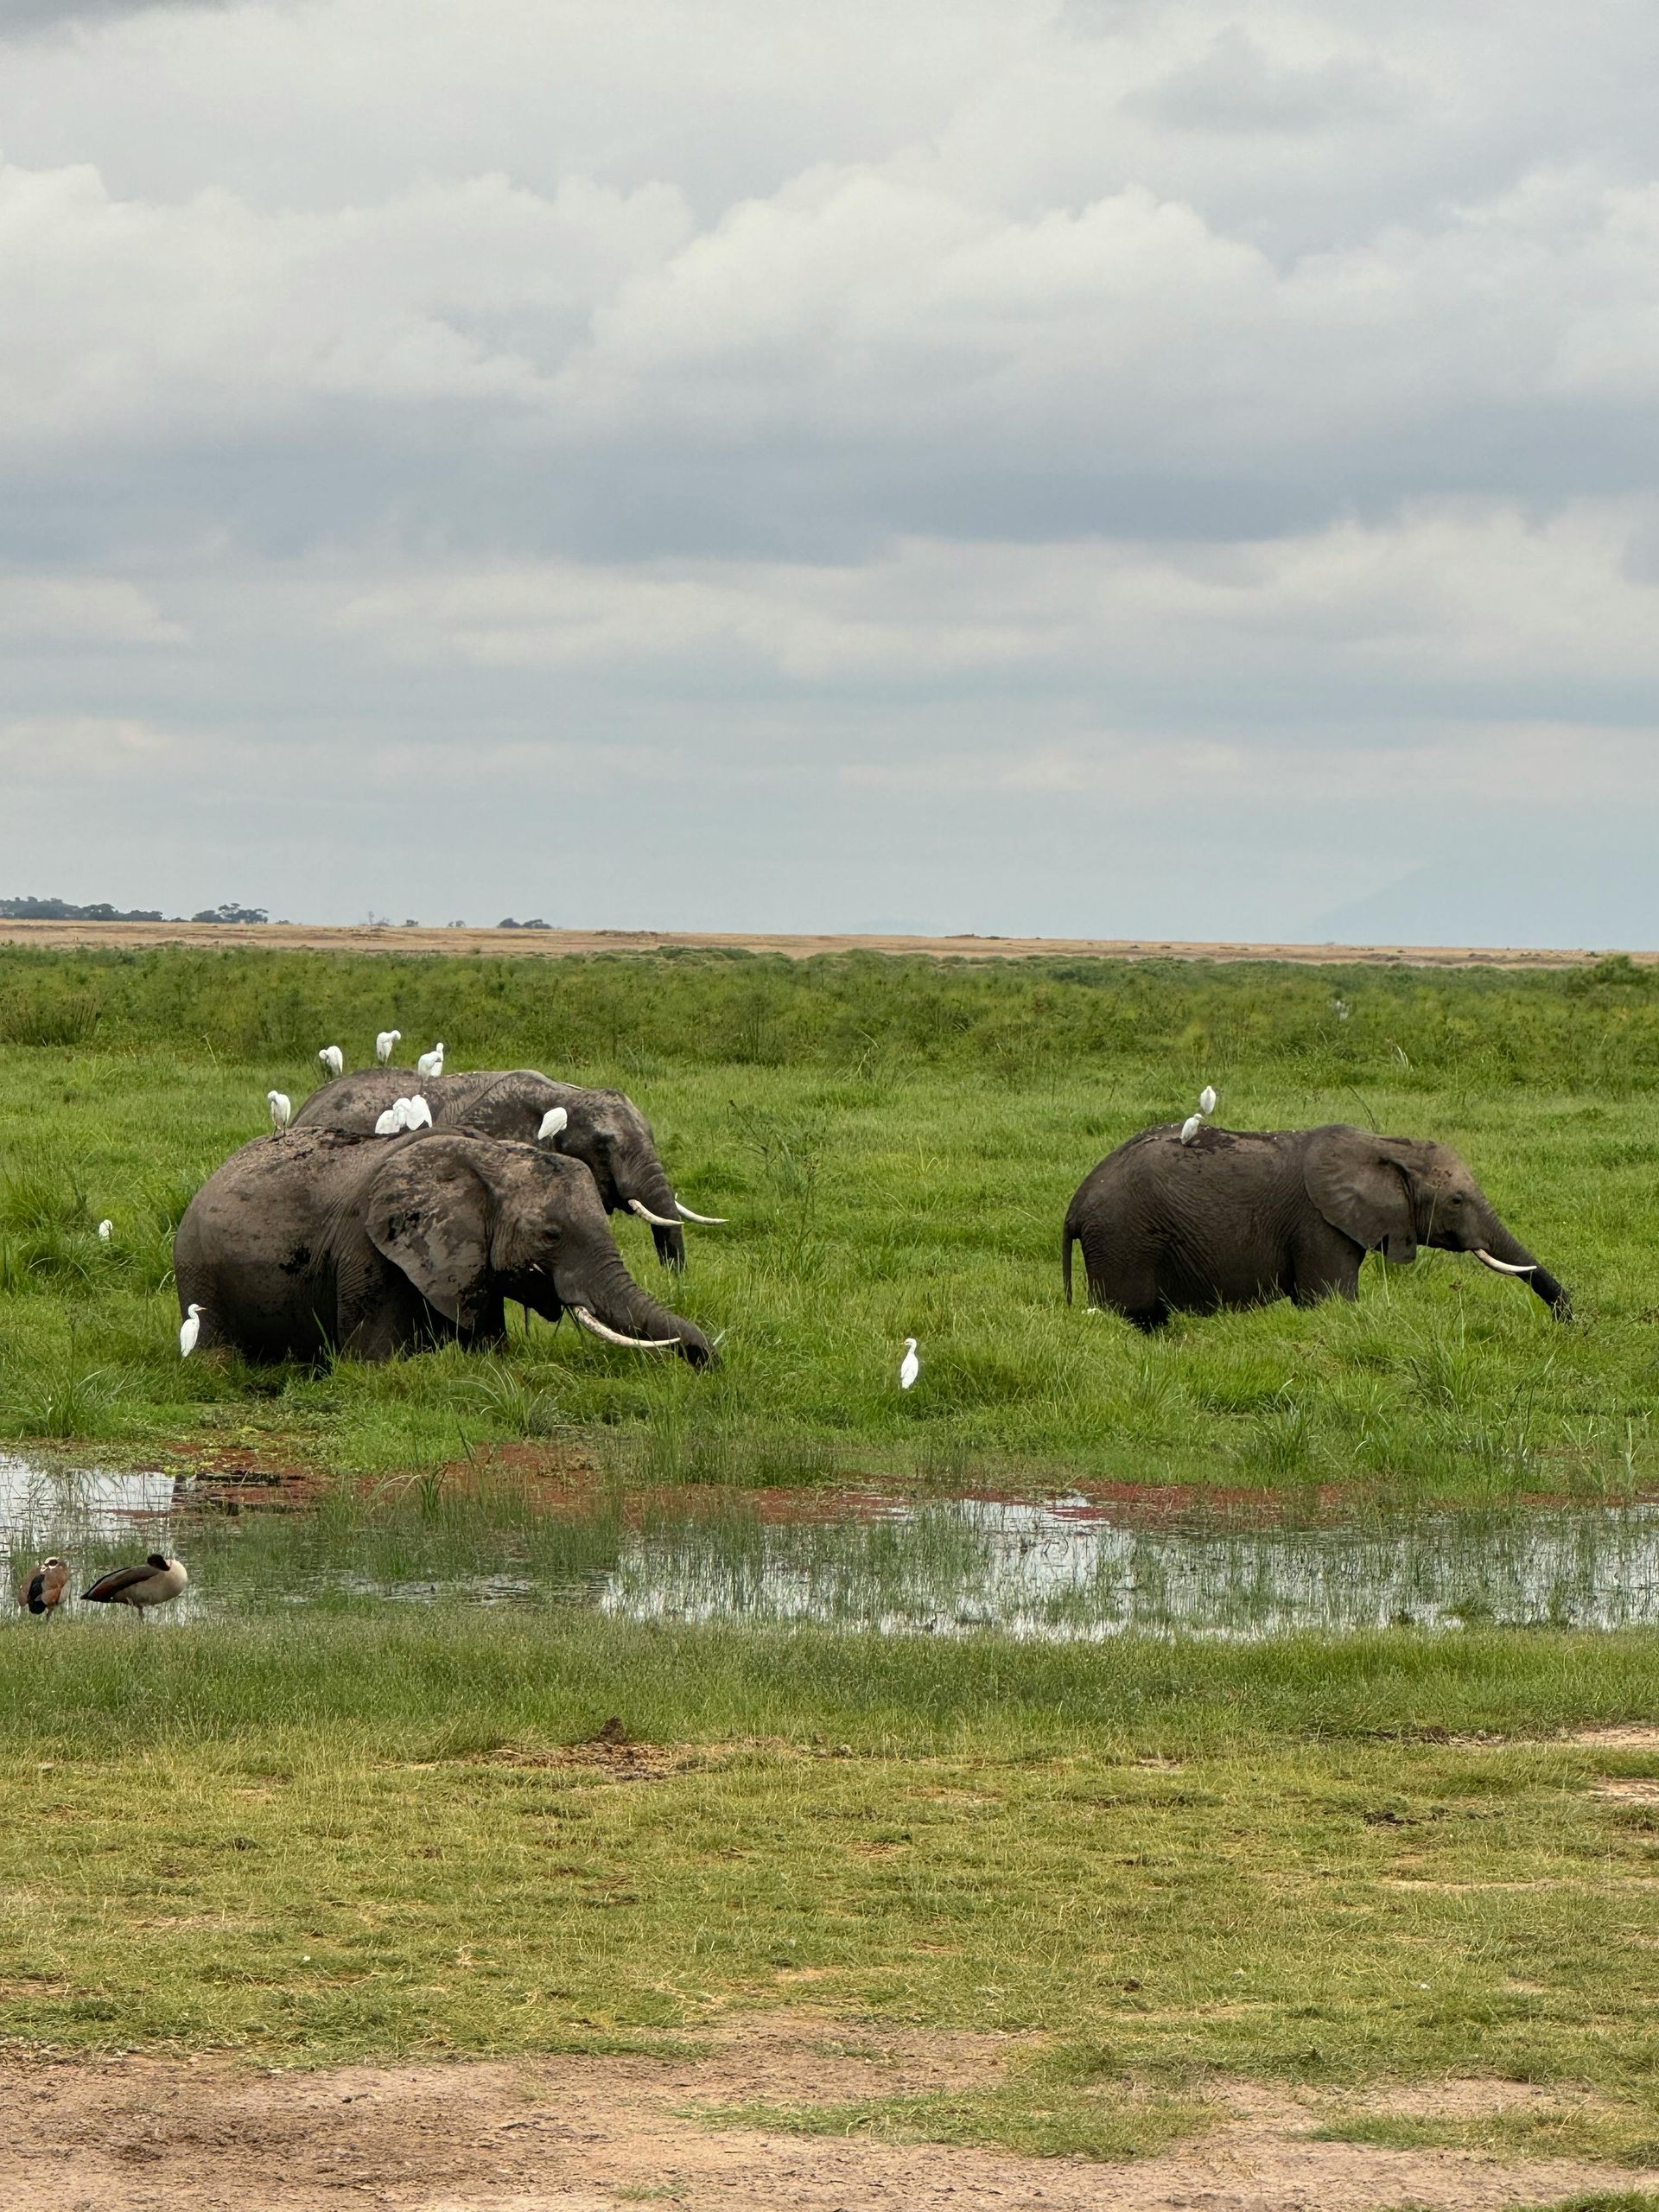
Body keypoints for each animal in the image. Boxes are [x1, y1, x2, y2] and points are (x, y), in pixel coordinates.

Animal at [179, 1123, 716, 1362]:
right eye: (551, 1235)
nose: (708, 1362)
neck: (485, 1157)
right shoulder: (369, 1253)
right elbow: (375, 1364)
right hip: (199, 1271)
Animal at [1065, 1123, 1574, 1327]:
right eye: (1457, 1199)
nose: (1565, 1322)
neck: (1385, 1145)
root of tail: (1075, 1207)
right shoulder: (1318, 1224)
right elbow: (1330, 1300)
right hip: (1124, 1240)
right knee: (1132, 1313)